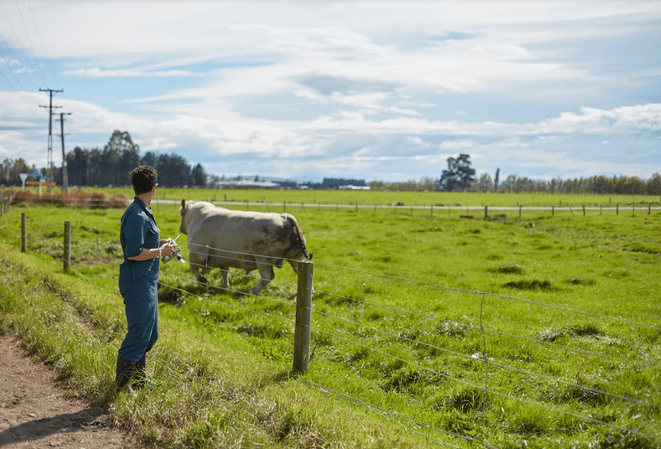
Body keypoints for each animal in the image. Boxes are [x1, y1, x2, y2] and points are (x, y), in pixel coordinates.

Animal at [179, 199, 312, 295]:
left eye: (181, 214)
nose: (180, 228)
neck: (197, 218)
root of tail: (285, 217)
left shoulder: (197, 254)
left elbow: (193, 268)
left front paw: (203, 281)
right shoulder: (223, 258)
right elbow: (224, 273)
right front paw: (224, 286)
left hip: (263, 260)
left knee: (267, 277)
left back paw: (252, 291)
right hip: (296, 258)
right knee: (303, 275)